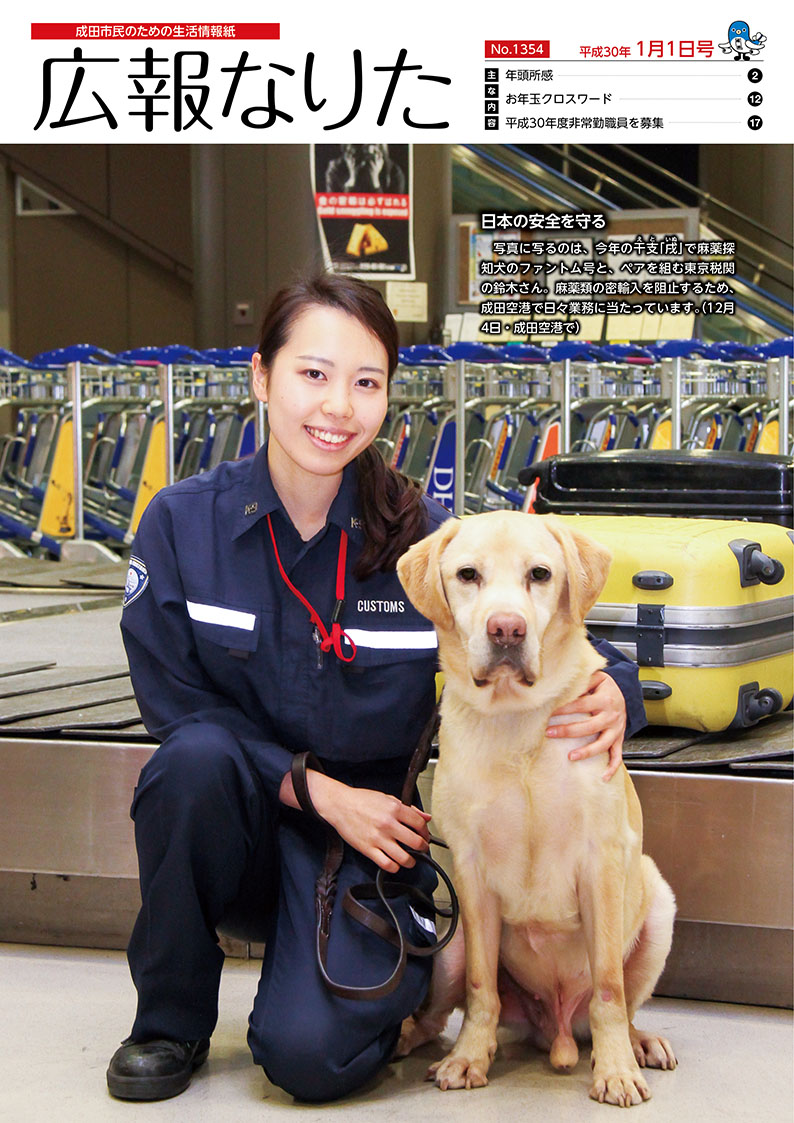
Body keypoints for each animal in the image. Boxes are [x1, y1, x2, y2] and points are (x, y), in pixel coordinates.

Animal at [397, 514, 678, 1105]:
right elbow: (482, 986)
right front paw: (469, 1059)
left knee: (622, 1006)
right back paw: (412, 1040)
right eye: (468, 575)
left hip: (657, 904)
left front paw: (616, 1071)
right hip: (447, 939)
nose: (507, 629)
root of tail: (556, 1029)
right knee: (440, 1015)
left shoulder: (602, 862)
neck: (517, 721)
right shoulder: (470, 872)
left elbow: (609, 990)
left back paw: (638, 1045)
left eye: (540, 574)